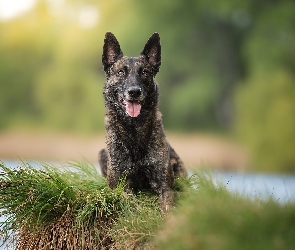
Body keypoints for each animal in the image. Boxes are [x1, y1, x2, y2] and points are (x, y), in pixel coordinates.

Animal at [99, 31, 187, 211]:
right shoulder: (121, 186)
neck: (134, 130)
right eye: (120, 72)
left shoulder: (165, 186)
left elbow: (168, 205)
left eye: (145, 72)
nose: (134, 92)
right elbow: (131, 203)